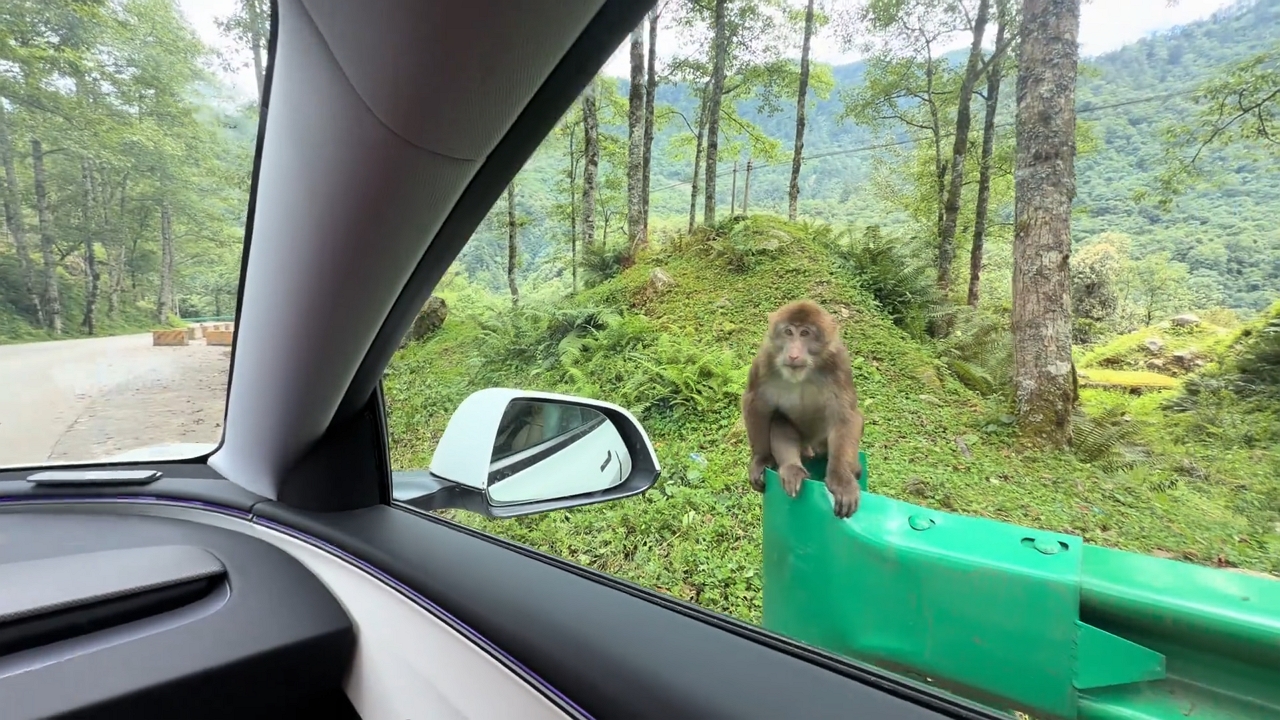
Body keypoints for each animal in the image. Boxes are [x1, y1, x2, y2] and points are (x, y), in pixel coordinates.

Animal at [741, 300, 865, 518]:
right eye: (788, 332)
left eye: (805, 333)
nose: (793, 354)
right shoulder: (764, 359)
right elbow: (756, 404)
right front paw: (761, 459)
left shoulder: (839, 364)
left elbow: (846, 416)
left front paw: (842, 481)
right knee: (779, 419)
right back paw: (792, 469)